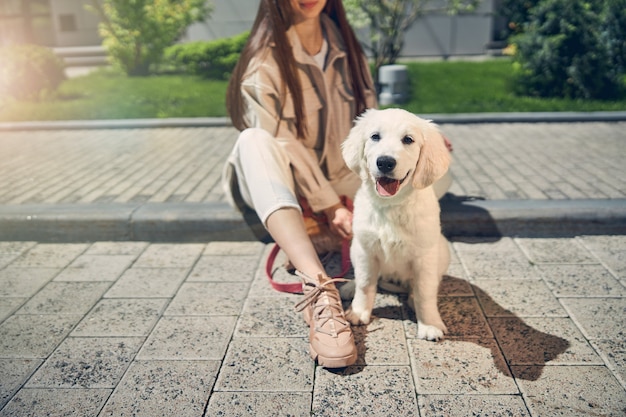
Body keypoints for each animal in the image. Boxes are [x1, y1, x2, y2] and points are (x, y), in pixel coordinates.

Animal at [342, 108, 448, 342]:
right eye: (375, 137)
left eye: (408, 139)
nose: (385, 162)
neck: (390, 205)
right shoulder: (365, 249)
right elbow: (365, 283)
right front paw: (359, 312)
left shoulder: (425, 255)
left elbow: (425, 291)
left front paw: (430, 324)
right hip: (355, 248)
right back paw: (349, 287)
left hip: (444, 251)